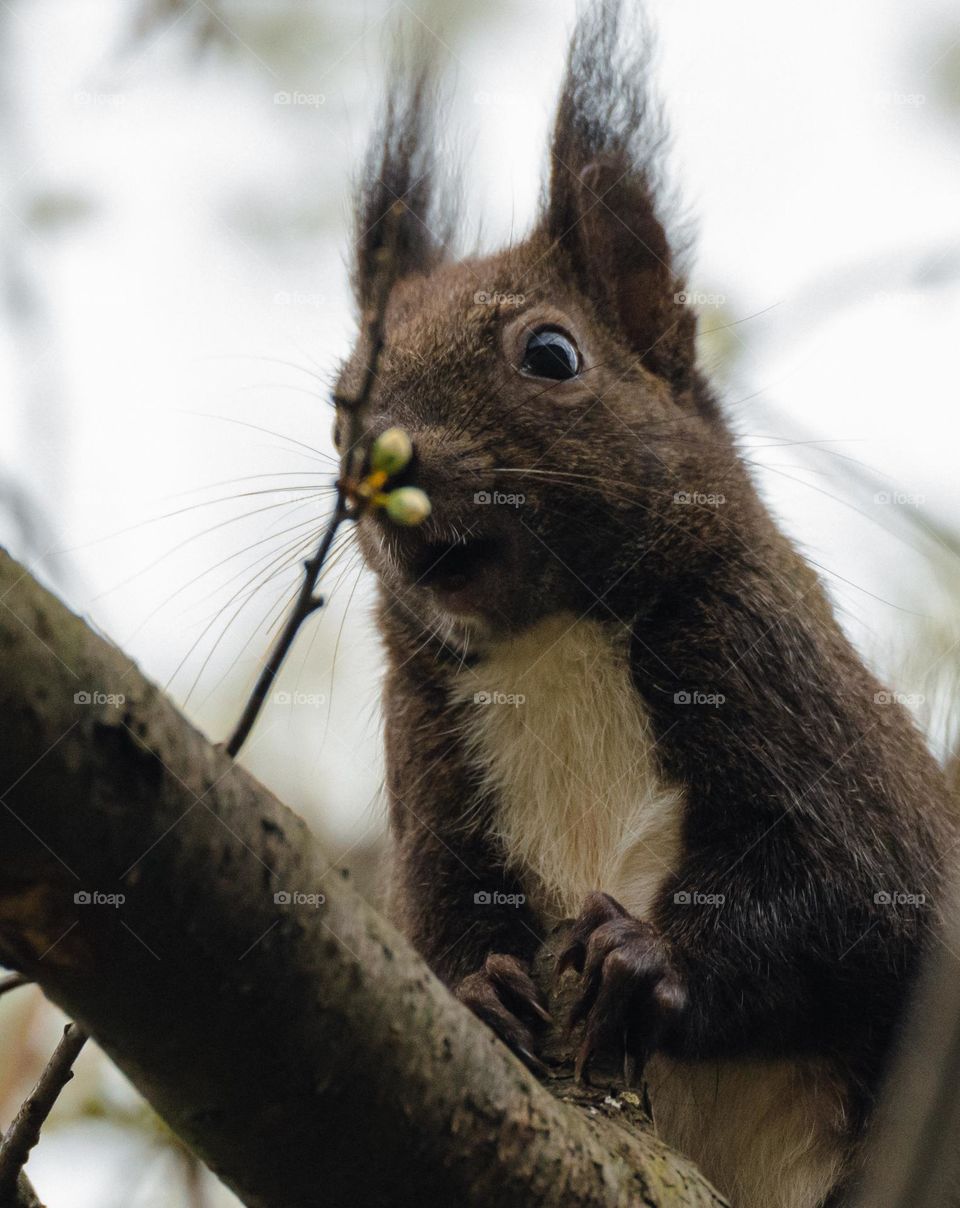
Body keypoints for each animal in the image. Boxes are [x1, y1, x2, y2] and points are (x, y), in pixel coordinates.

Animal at [333, 4, 960, 1203]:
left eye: (551, 353)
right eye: (341, 403)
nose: (386, 466)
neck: (553, 647)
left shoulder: (788, 683)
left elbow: (860, 888)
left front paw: (645, 959)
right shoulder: (429, 763)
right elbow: (439, 921)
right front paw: (478, 991)